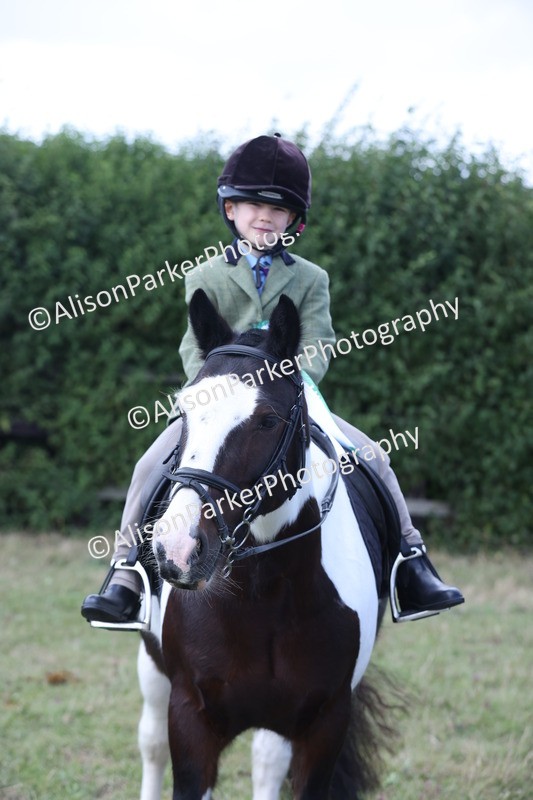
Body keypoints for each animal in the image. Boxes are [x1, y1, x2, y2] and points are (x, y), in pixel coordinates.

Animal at [137, 288, 400, 800]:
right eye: (184, 412)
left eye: (267, 420)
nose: (177, 550)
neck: (263, 591)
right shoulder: (189, 718)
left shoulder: (324, 722)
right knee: (151, 743)